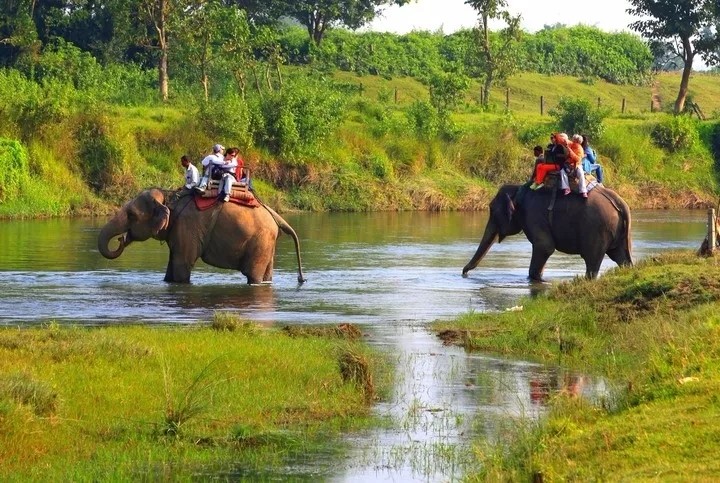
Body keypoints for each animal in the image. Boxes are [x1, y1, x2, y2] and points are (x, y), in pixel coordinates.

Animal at [97, 188, 306, 286]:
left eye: (132, 215)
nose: (120, 239)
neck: (169, 197)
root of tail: (275, 215)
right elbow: (172, 266)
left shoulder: (188, 226)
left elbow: (182, 264)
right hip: (267, 243)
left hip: (261, 241)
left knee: (253, 275)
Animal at [464, 185, 632, 284]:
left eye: (491, 209)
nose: (464, 273)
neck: (519, 189)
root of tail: (621, 203)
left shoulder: (533, 215)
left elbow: (545, 247)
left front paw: (537, 280)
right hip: (618, 232)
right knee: (621, 258)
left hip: (597, 229)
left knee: (592, 261)